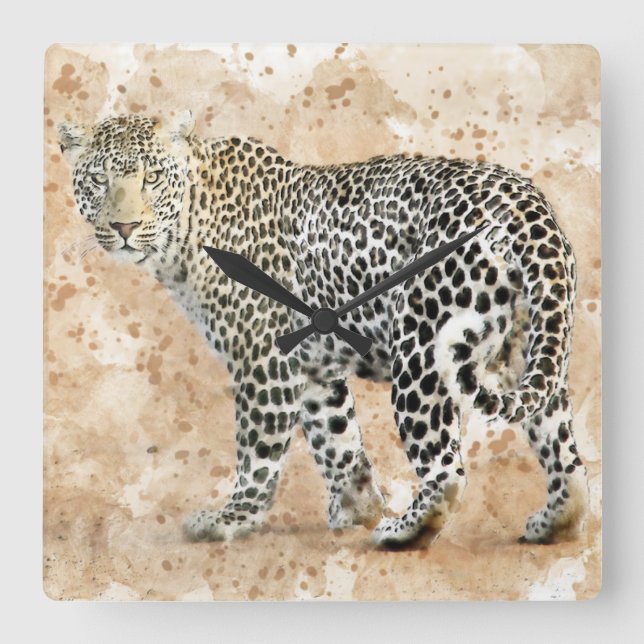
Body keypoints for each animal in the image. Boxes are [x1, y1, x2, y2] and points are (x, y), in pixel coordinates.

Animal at [58, 111, 587, 547]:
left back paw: (402, 531)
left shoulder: (265, 362)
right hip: (531, 346)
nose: (125, 227)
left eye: (151, 178)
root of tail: (525, 203)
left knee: (447, 470)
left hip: (421, 354)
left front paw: (231, 519)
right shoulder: (312, 367)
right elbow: (338, 439)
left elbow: (258, 452)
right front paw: (356, 506)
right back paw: (553, 522)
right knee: (564, 451)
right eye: (100, 179)